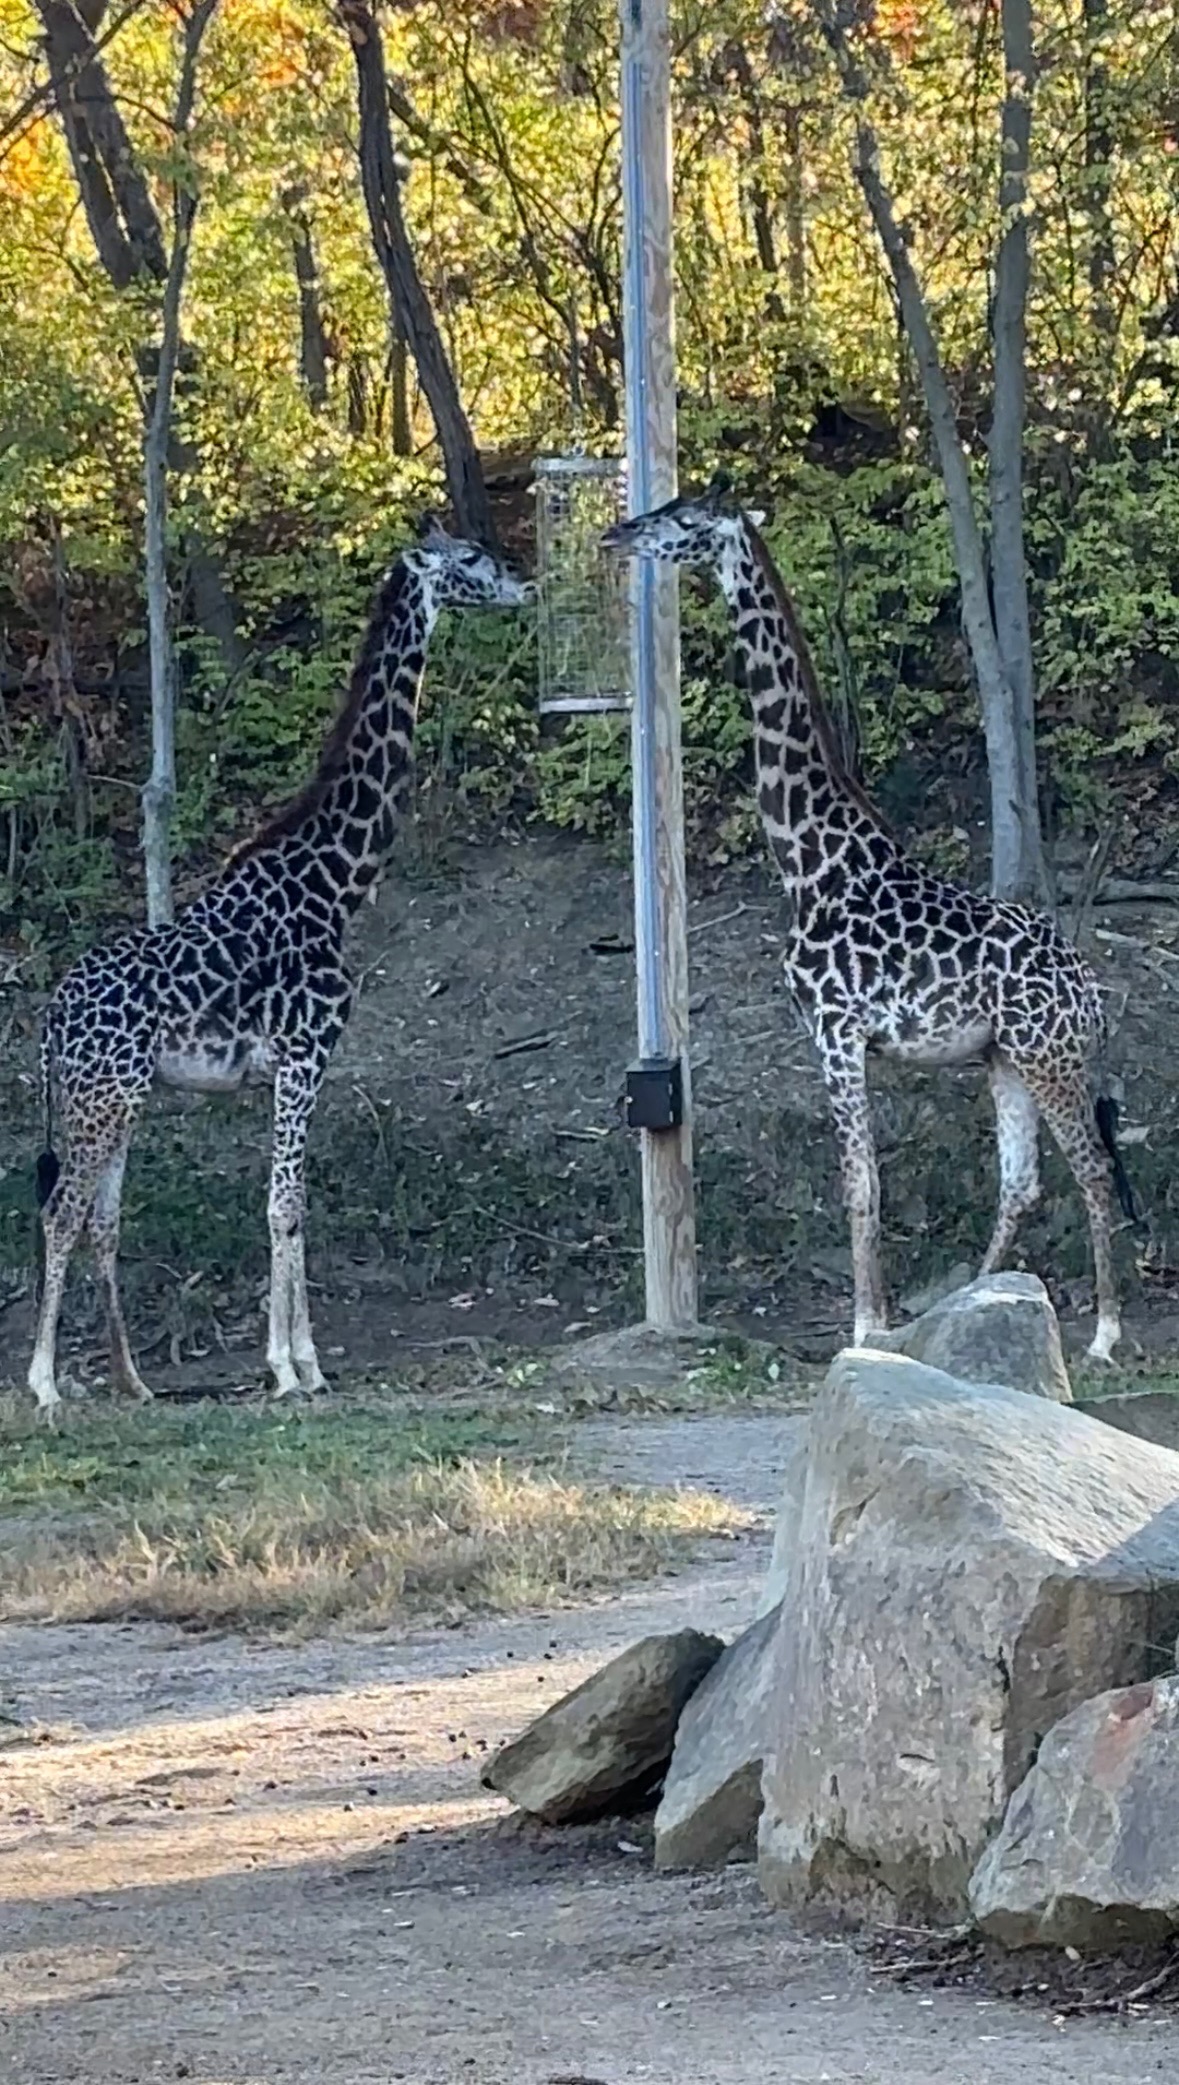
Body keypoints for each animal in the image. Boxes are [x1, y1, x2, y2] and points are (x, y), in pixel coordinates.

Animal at [27, 518, 531, 1414]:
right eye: (470, 560)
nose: (522, 582)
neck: (334, 884)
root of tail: (50, 1020)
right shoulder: (304, 1056)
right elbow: (283, 1205)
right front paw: (291, 1368)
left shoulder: (295, 1068)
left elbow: (292, 1205)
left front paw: (305, 1362)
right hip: (99, 1102)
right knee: (61, 1211)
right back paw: (46, 1384)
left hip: (117, 1100)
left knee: (99, 1220)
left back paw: (132, 1380)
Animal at [602, 482, 1138, 1361]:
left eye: (681, 521)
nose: (619, 532)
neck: (810, 860)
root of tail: (1093, 994)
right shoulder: (849, 1037)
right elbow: (871, 1182)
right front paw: (886, 1324)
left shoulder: (836, 1031)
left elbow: (860, 1183)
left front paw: (863, 1328)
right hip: (1003, 1059)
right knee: (1021, 1182)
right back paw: (963, 1305)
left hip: (1047, 1056)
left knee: (1090, 1169)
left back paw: (1100, 1333)